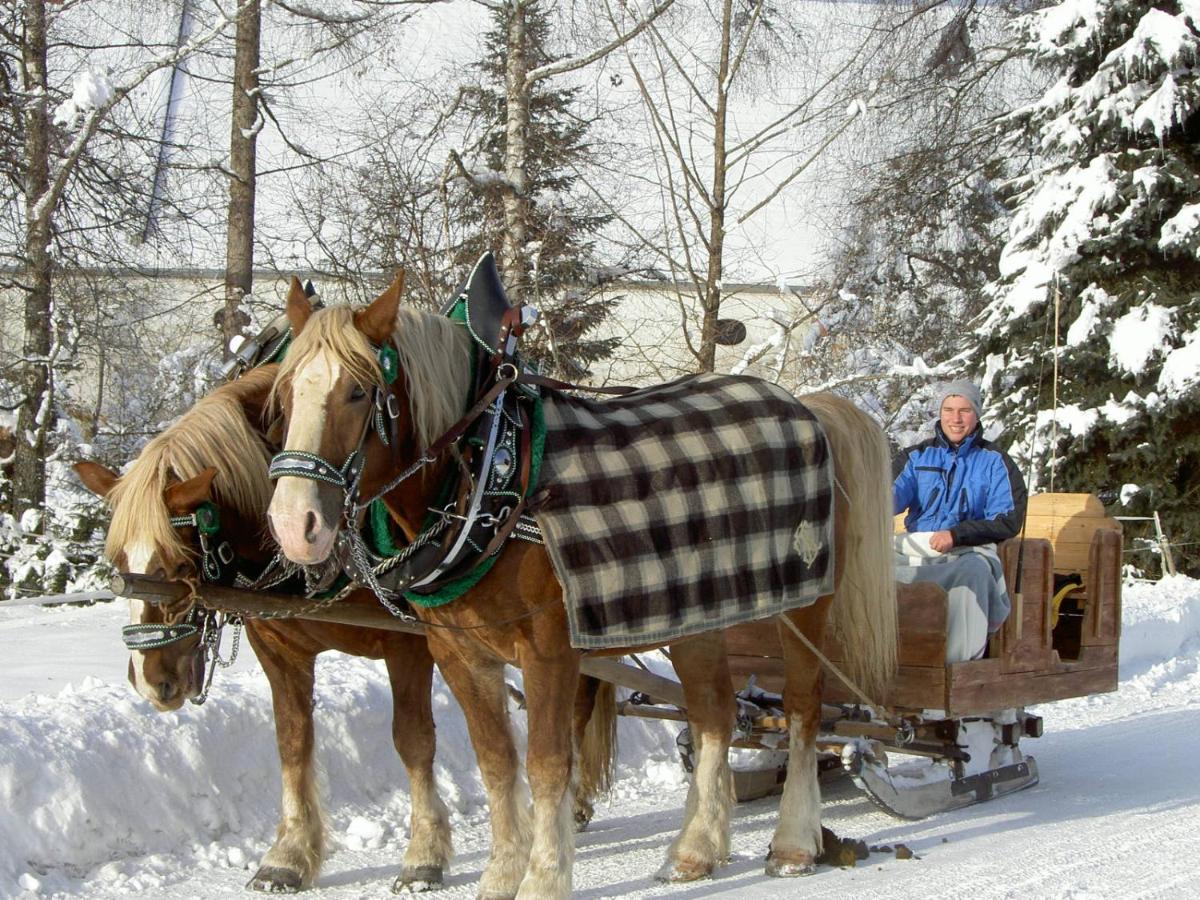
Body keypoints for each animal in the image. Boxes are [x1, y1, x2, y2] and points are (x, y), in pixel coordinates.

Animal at [265, 274, 902, 900]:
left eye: (358, 392)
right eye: (285, 392)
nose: (295, 524)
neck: (492, 477)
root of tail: (807, 406)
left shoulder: (548, 650)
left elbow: (548, 763)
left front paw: (543, 880)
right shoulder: (457, 653)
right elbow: (497, 761)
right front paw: (502, 875)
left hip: (807, 605)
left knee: (801, 710)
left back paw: (793, 843)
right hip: (697, 615)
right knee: (715, 714)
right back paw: (694, 852)